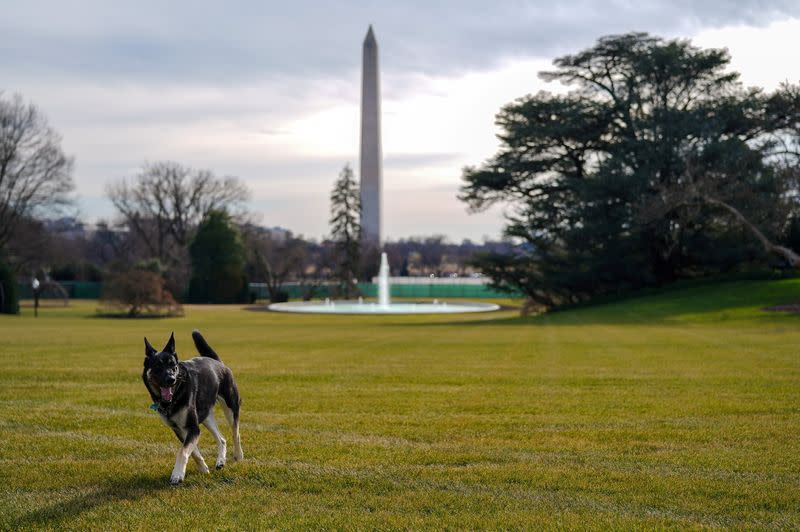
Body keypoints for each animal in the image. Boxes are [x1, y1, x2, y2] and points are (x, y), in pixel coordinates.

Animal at [142, 330, 241, 484]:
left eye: (173, 366)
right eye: (158, 366)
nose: (171, 379)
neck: (175, 396)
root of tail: (218, 362)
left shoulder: (193, 427)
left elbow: (182, 451)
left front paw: (177, 474)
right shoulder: (180, 429)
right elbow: (192, 451)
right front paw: (203, 468)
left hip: (231, 407)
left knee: (235, 432)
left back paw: (238, 455)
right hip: (205, 416)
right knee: (222, 439)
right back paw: (220, 461)